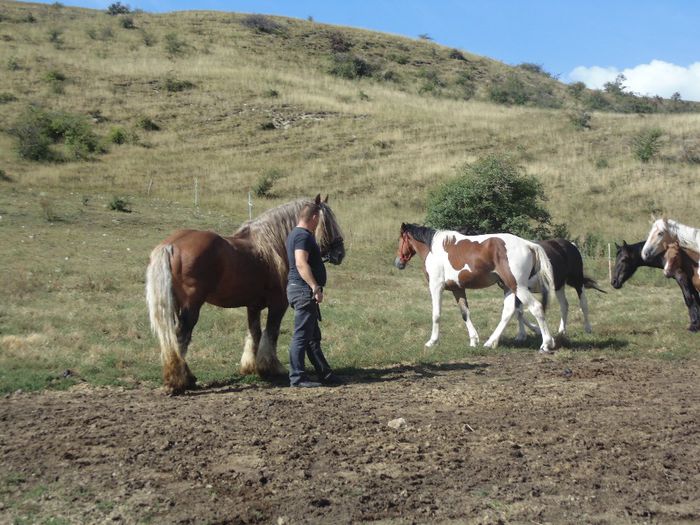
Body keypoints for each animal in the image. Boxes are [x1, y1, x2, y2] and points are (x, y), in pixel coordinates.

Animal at [146, 195, 344, 392]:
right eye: (328, 222)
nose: (340, 253)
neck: (271, 247)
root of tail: (170, 245)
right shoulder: (278, 304)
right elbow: (271, 333)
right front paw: (271, 367)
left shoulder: (253, 306)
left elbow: (254, 333)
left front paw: (251, 366)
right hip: (191, 306)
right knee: (181, 337)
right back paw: (181, 380)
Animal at [396, 222, 556, 352]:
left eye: (401, 239)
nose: (398, 262)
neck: (434, 249)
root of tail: (528, 245)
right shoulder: (458, 289)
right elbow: (465, 313)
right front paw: (474, 340)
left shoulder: (436, 286)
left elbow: (436, 314)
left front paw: (432, 341)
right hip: (509, 287)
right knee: (509, 312)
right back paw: (490, 342)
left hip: (518, 287)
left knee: (536, 308)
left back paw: (546, 344)